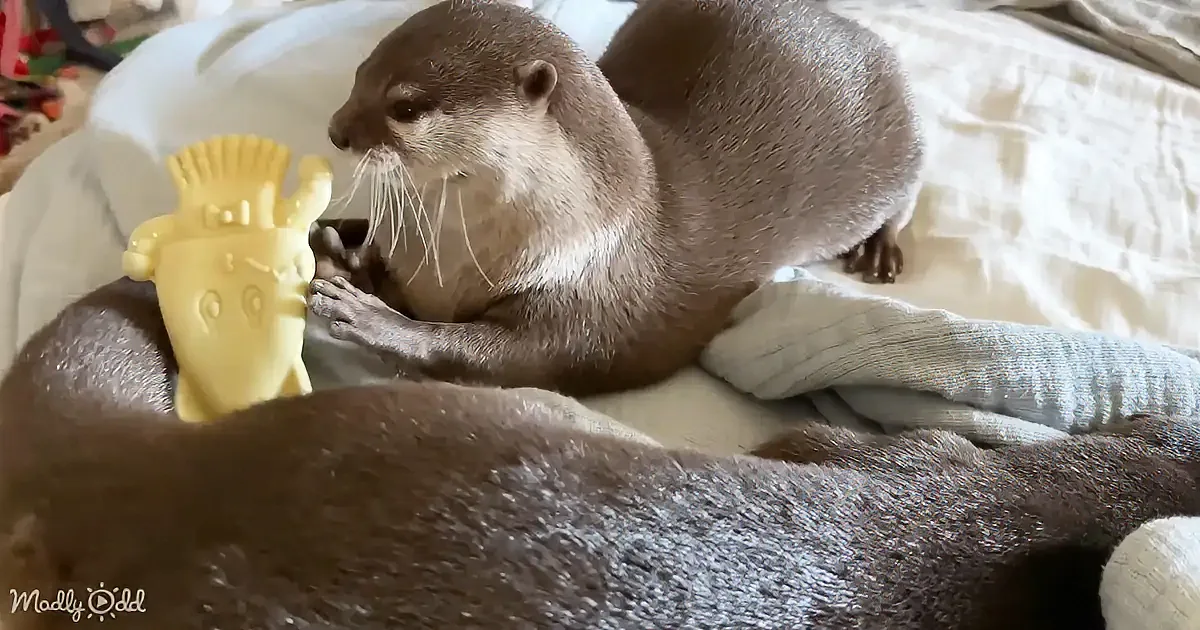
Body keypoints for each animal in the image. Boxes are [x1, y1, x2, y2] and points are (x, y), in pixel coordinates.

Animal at [310, 0, 923, 395]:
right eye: (360, 74)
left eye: (405, 106)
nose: (335, 131)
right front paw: (336, 249)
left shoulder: (591, 306)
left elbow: (499, 354)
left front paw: (368, 315)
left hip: (898, 146)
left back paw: (880, 251)